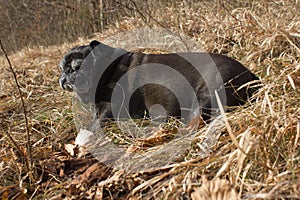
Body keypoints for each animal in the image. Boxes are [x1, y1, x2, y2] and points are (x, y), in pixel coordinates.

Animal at [59, 40, 260, 124]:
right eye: (62, 67)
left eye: (78, 67)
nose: (65, 75)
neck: (110, 68)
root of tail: (250, 74)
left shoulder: (109, 109)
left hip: (207, 94)